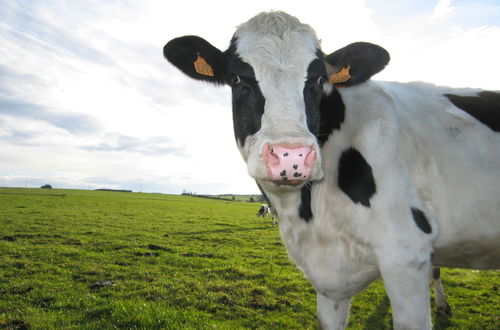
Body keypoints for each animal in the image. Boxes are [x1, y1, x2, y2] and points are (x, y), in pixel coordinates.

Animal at [162, 10, 498, 330]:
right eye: (235, 79)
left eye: (318, 80)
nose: (291, 156)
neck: (312, 218)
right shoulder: (329, 282)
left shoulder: (406, 253)